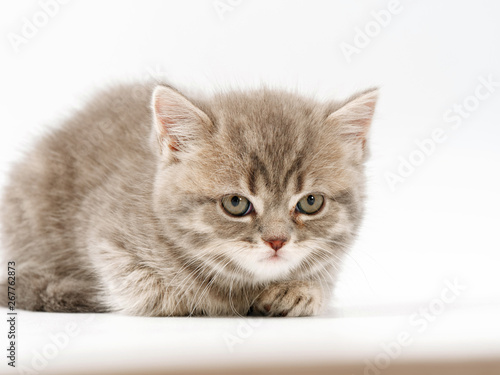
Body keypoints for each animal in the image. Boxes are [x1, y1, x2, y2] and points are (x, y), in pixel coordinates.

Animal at [0, 83, 376, 318]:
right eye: (236, 203)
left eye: (310, 202)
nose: (276, 241)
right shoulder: (109, 241)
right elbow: (156, 294)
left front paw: (301, 290)